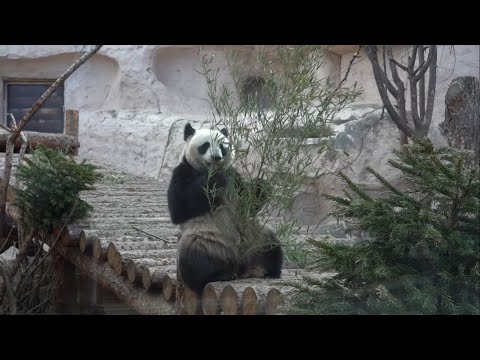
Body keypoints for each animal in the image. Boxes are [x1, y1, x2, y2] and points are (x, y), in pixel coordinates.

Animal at [167, 122, 284, 294]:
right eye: (205, 145)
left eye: (222, 146)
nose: (216, 157)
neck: (209, 170)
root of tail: (241, 266)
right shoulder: (183, 172)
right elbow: (180, 207)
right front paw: (215, 180)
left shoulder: (234, 177)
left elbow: (248, 203)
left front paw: (261, 185)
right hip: (208, 240)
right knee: (194, 260)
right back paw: (220, 275)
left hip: (256, 235)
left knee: (271, 246)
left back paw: (269, 271)